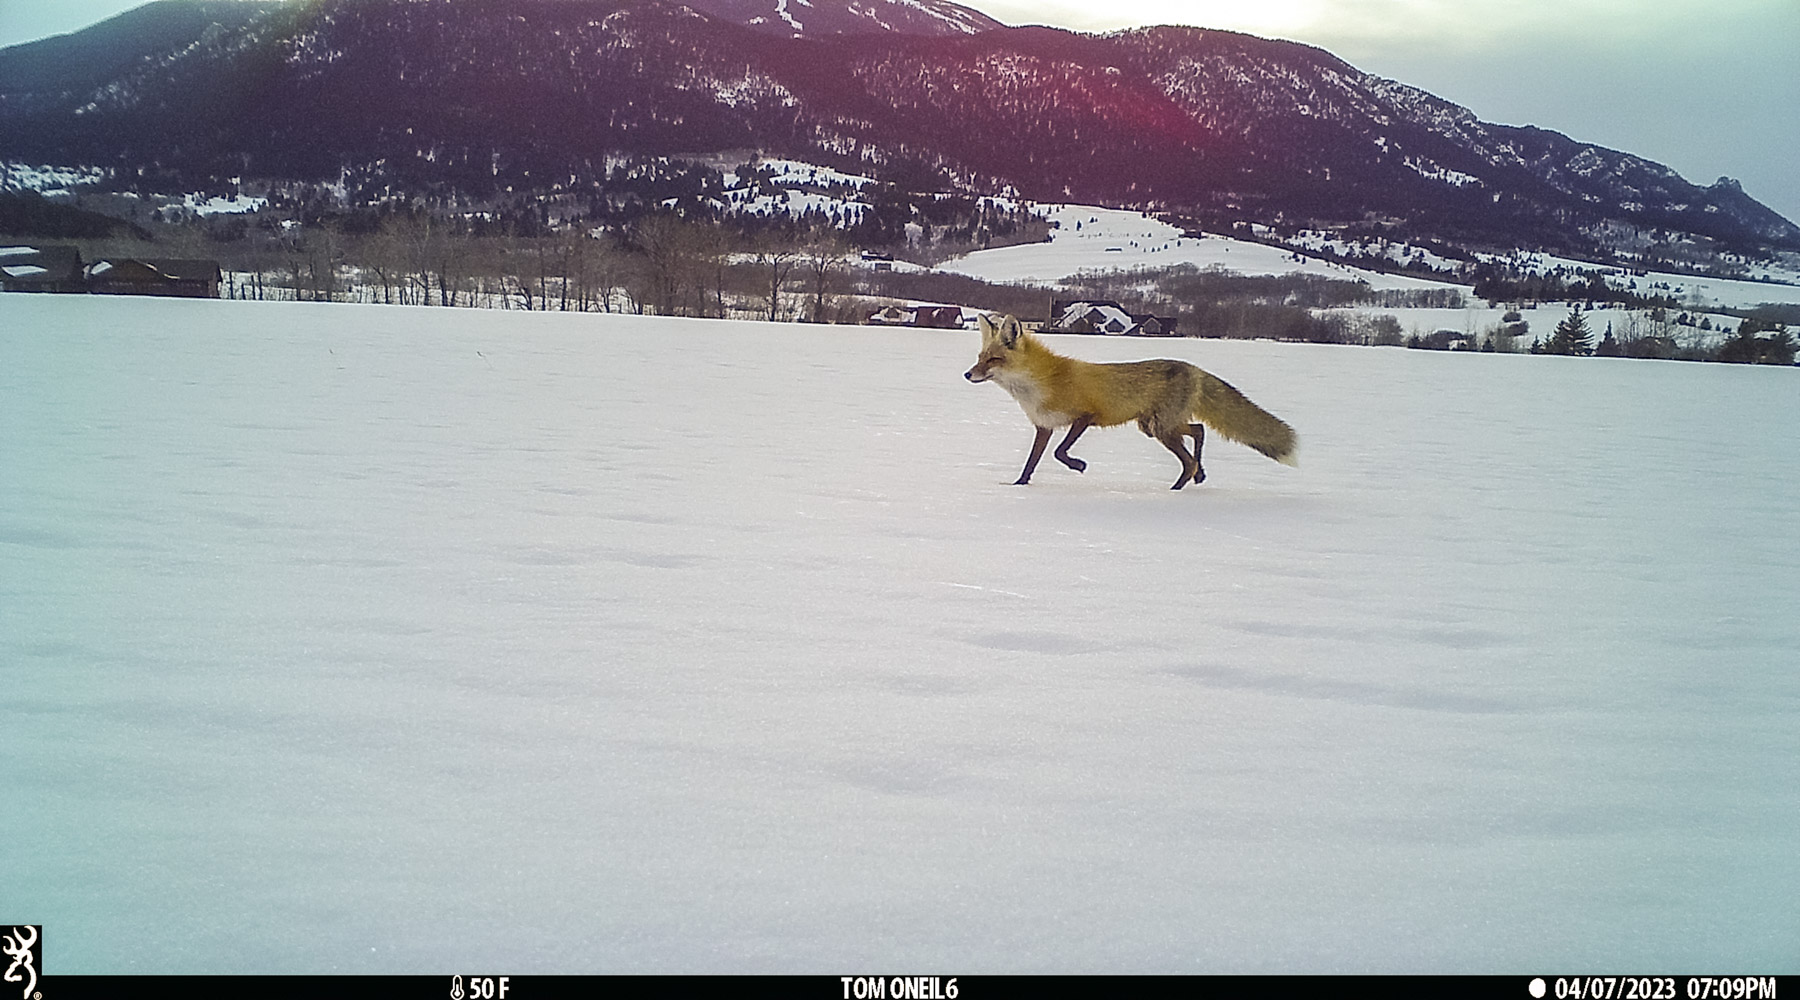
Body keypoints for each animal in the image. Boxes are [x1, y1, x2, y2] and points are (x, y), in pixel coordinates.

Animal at [964, 314, 1298, 489]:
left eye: (993, 360)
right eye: (980, 358)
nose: (967, 374)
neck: (1040, 383)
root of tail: (1193, 368)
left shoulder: (1085, 417)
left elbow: (1060, 452)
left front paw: (1079, 465)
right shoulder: (1043, 428)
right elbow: (1030, 464)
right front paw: (1018, 487)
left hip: (1160, 429)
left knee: (1190, 454)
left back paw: (1178, 488)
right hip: (1153, 426)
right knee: (1199, 430)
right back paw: (1199, 475)